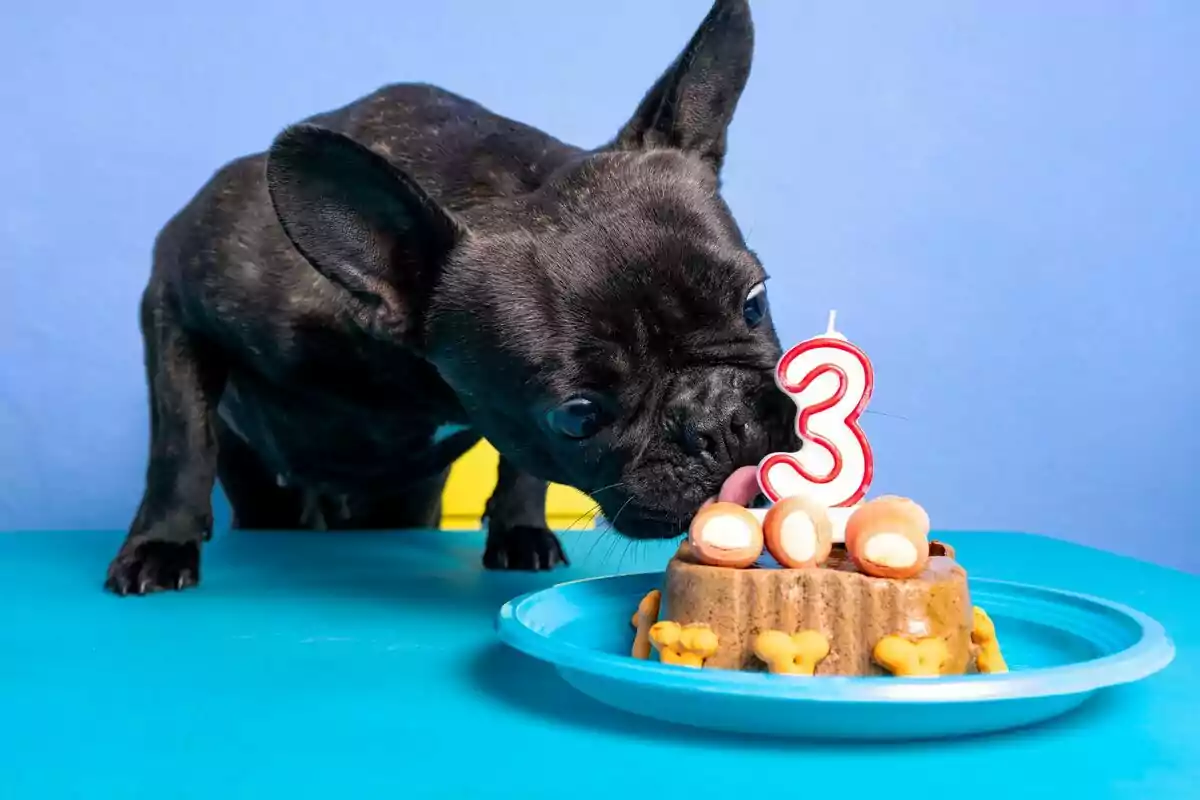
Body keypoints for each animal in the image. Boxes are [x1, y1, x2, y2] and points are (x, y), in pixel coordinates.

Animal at [103, 0, 796, 594]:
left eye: (754, 303)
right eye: (577, 415)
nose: (721, 421)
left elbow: (521, 467)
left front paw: (521, 530)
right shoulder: (172, 298)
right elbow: (179, 441)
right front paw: (161, 543)